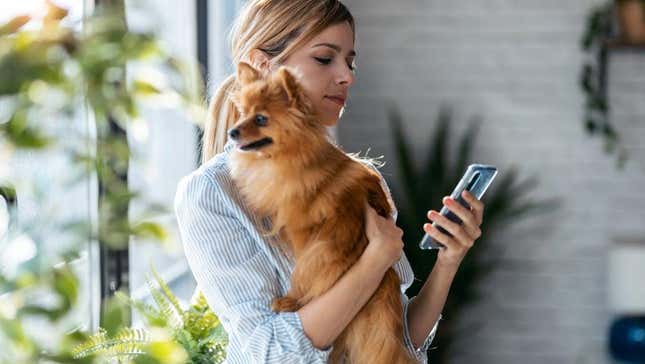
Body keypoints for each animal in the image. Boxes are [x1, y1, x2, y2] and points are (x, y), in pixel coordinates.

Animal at [226, 62, 418, 364]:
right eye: (243, 114)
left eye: (261, 119)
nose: (232, 132)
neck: (292, 156)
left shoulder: (307, 234)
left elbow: (305, 274)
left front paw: (293, 298)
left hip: (324, 248)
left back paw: (289, 301)